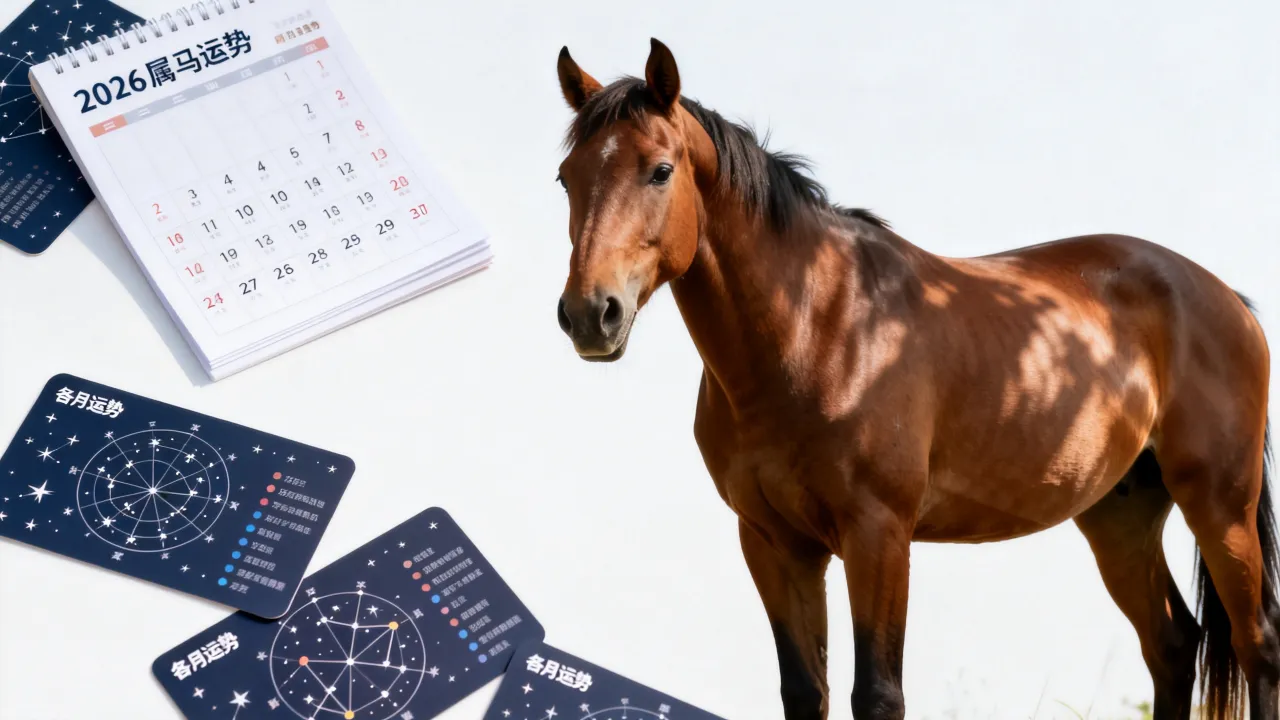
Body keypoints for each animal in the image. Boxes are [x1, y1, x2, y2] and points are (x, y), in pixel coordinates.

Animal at [551, 38, 1278, 720]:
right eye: (565, 178)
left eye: (660, 171)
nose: (590, 314)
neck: (820, 327)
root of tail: (1227, 300)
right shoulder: (773, 543)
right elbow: (804, 691)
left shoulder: (879, 535)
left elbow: (877, 693)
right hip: (1119, 515)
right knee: (1172, 645)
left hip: (1219, 505)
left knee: (1257, 645)